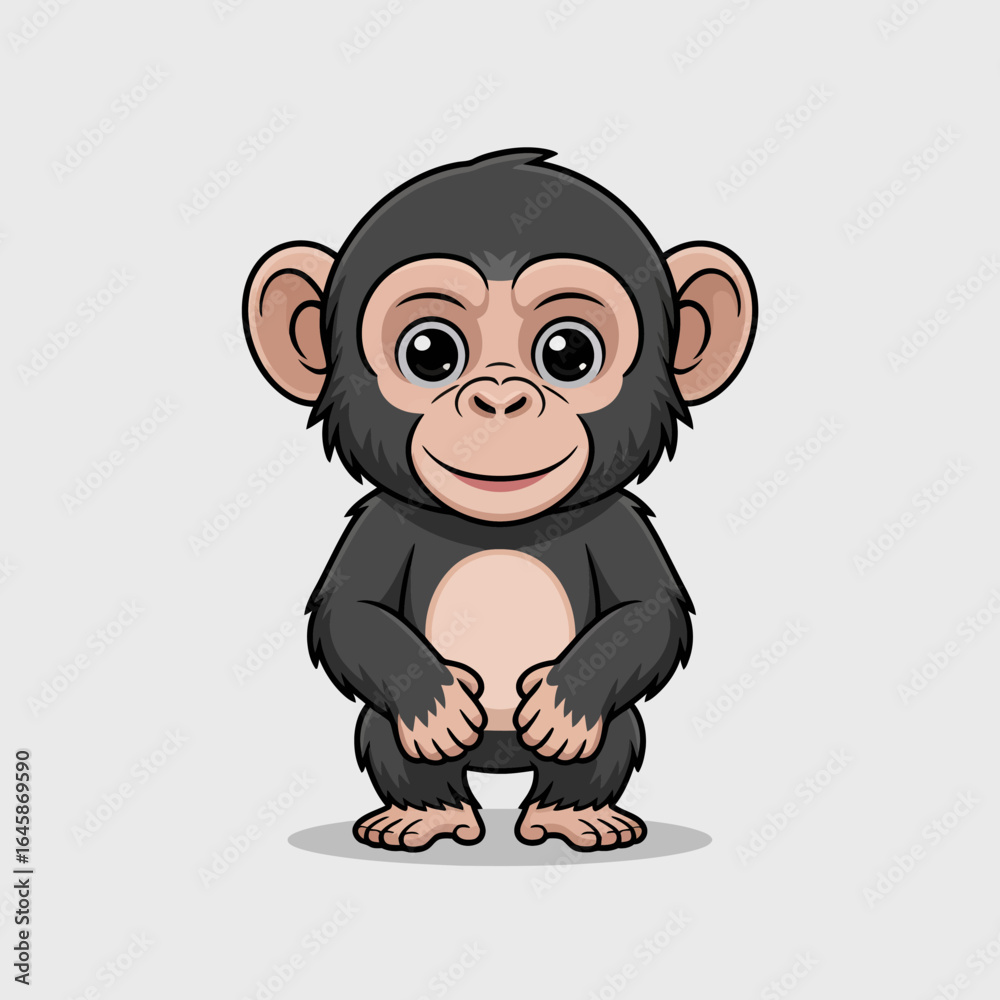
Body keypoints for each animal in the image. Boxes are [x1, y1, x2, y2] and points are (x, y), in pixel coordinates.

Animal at [242, 149, 756, 852]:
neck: (498, 527)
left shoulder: (620, 521)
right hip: (397, 736)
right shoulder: (380, 521)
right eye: (430, 351)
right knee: (389, 735)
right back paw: (425, 813)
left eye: (569, 352)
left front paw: (565, 705)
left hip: (602, 736)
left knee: (609, 736)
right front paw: (435, 705)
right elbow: (351, 612)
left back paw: (575, 812)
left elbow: (647, 612)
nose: (500, 398)